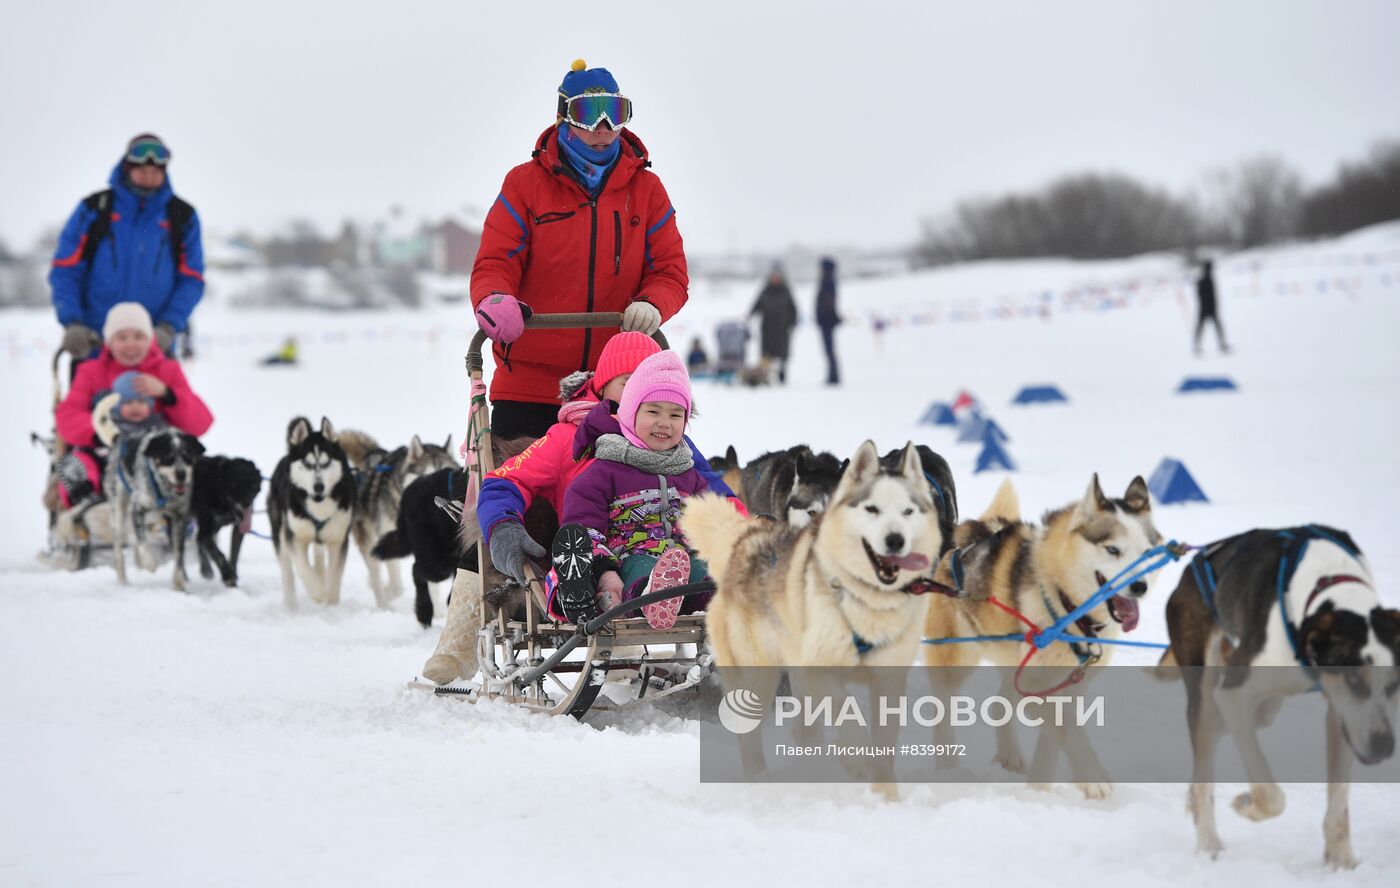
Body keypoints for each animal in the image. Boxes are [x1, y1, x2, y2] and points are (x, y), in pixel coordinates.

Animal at [103, 425, 204, 591]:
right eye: (167, 458)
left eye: (188, 456)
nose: (181, 474)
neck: (163, 491)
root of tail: (119, 438)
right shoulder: (137, 509)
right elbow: (142, 542)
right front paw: (149, 564)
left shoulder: (179, 519)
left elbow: (178, 554)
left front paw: (179, 585)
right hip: (119, 512)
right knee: (120, 551)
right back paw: (123, 581)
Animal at [191, 456, 263, 588]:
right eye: (235, 485)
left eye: (253, 485)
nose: (247, 503)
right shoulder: (206, 532)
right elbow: (219, 555)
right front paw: (228, 576)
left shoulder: (238, 529)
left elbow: (234, 554)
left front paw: (233, 573)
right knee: (198, 539)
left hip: (215, 527)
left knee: (198, 540)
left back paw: (206, 570)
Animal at [918, 473, 1159, 801]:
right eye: (1113, 550)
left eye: (1145, 551)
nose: (1140, 587)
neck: (1068, 608)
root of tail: (976, 530)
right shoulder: (1037, 686)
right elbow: (1069, 730)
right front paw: (1092, 777)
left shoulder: (1067, 687)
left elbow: (1057, 734)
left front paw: (1039, 788)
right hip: (956, 659)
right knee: (942, 706)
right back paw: (949, 769)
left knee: (999, 704)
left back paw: (1009, 754)